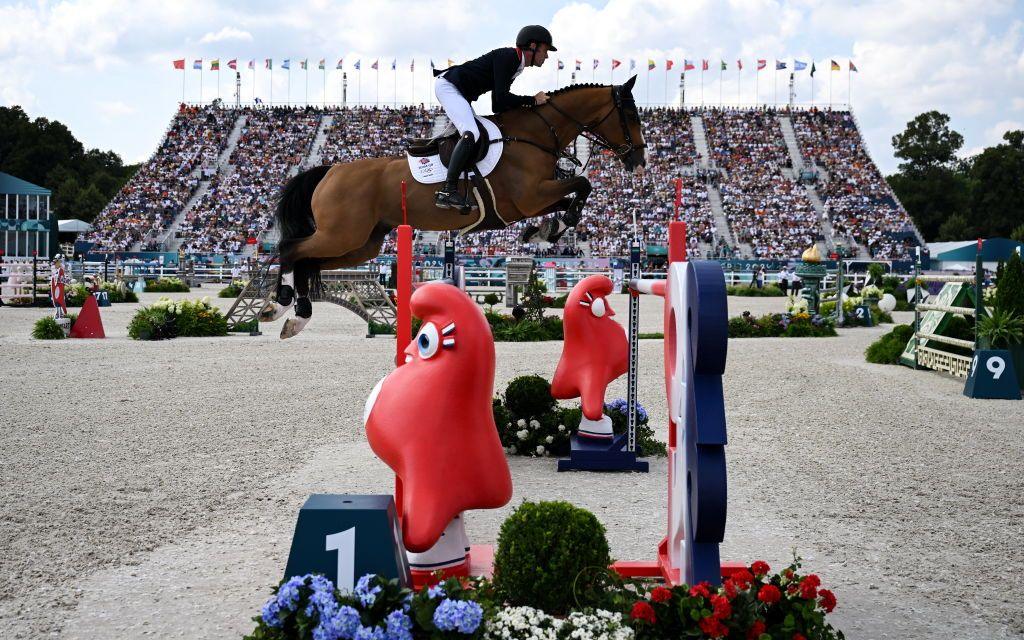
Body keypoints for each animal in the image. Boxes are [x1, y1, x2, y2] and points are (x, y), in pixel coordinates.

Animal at [264, 73, 647, 339]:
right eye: (629, 114)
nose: (639, 161)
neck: (535, 135)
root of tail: (330, 169)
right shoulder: (529, 197)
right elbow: (582, 184)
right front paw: (556, 226)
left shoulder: (530, 202)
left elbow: (575, 192)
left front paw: (544, 231)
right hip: (342, 234)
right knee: (291, 249)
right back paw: (279, 305)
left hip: (360, 244)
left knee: (308, 261)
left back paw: (297, 316)